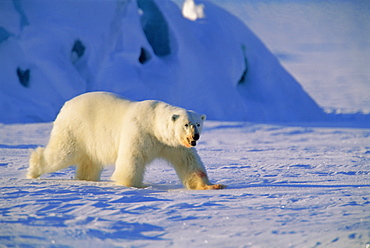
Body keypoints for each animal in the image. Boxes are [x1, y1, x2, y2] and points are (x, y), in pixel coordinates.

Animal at [27, 91, 224, 190]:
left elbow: (189, 161)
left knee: (90, 161)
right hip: (76, 129)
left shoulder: (173, 144)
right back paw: (33, 170)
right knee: (62, 152)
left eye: (198, 124)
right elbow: (132, 157)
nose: (195, 137)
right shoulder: (139, 131)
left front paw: (213, 185)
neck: (153, 122)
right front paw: (133, 184)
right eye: (186, 124)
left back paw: (87, 178)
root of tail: (66, 104)